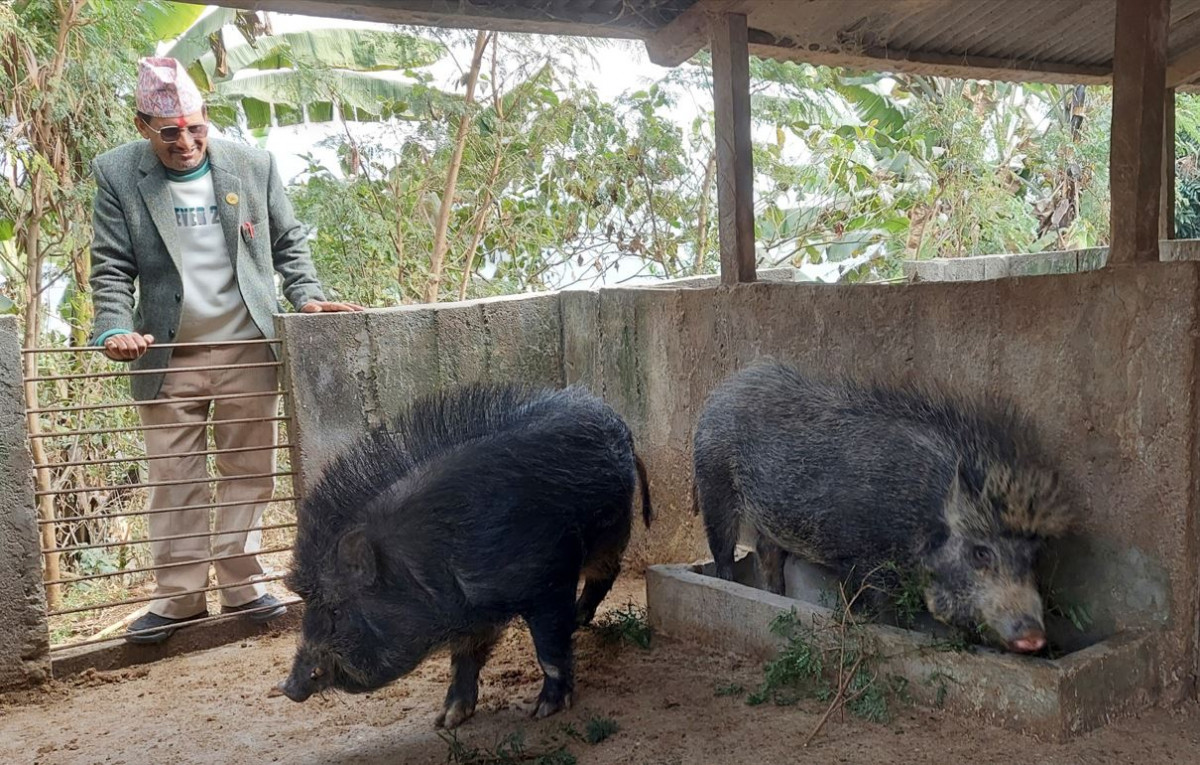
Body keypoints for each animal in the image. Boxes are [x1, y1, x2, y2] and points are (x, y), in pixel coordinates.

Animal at [277, 386, 652, 729]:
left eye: (335, 610)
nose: (288, 688)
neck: (424, 562)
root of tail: (617, 421)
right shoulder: (471, 614)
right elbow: (463, 659)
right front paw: (446, 721)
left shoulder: (547, 580)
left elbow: (549, 650)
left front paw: (544, 711)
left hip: (613, 529)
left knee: (606, 572)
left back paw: (578, 619)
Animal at [696, 362, 1080, 657]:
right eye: (981, 553)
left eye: (1032, 557)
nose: (1035, 637)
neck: (921, 515)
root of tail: (725, 388)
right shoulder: (859, 560)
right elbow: (873, 610)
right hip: (713, 483)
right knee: (723, 548)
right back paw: (730, 583)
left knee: (767, 550)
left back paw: (774, 594)